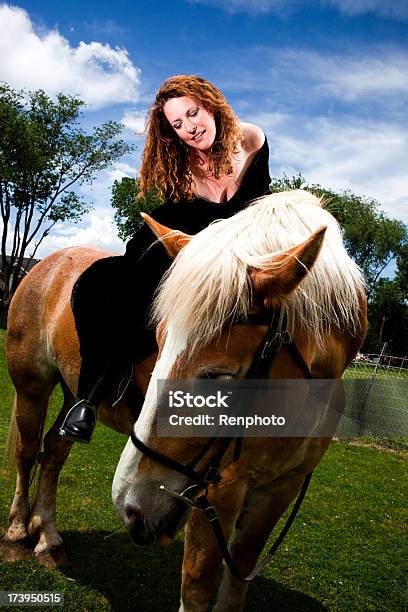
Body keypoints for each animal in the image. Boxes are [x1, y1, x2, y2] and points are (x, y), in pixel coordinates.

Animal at [111, 189, 366, 608]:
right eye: (158, 346)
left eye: (217, 376)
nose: (129, 505)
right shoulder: (220, 489)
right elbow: (197, 584)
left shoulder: (281, 488)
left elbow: (239, 569)